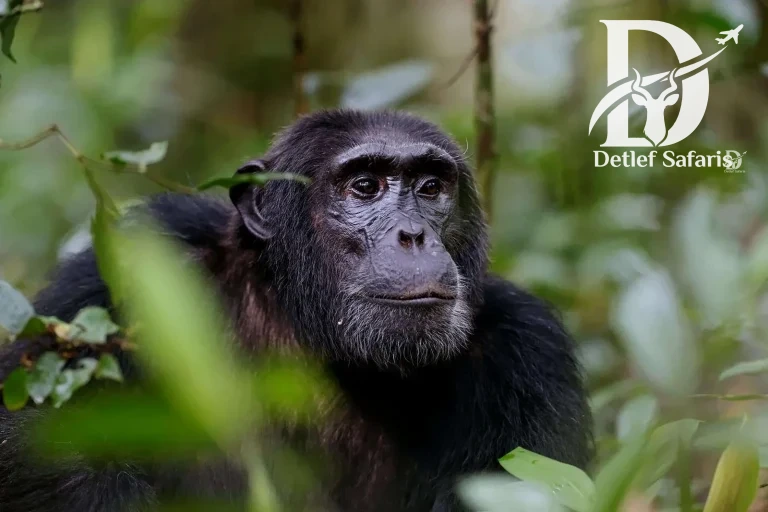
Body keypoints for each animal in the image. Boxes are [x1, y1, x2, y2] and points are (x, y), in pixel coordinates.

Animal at [0, 109, 593, 512]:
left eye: (430, 188)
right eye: (364, 186)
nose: (413, 235)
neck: (308, 328)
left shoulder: (527, 353)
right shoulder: (116, 282)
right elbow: (28, 433)